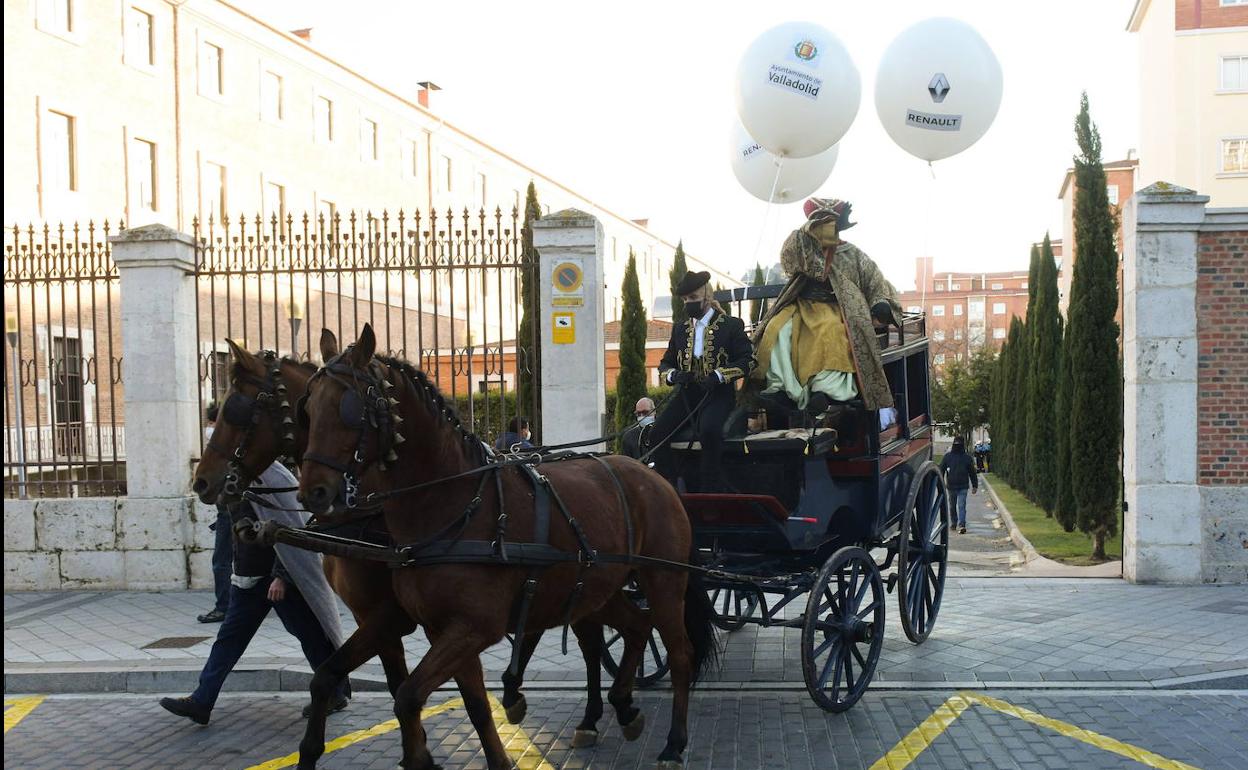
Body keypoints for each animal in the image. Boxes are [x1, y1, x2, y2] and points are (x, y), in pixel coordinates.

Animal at [295, 324, 718, 768]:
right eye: (309, 408)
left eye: (348, 409)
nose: (313, 492)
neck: (453, 502)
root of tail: (652, 475)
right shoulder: (440, 627)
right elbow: (472, 702)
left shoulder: (473, 626)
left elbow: (408, 696)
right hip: (597, 588)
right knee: (636, 627)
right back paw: (621, 705)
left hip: (662, 579)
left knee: (680, 652)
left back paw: (673, 741)